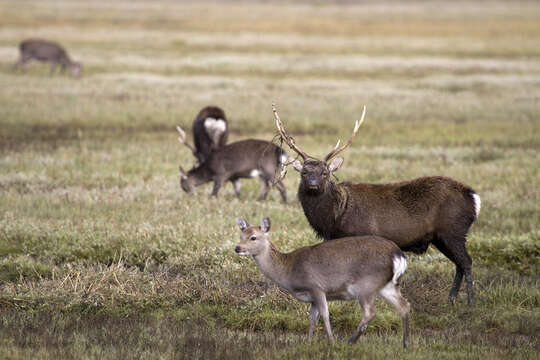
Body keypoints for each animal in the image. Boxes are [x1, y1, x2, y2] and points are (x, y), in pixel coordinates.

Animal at [233, 217, 410, 346]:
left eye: (253, 237)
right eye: (241, 236)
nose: (237, 248)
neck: (289, 271)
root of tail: (398, 255)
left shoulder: (316, 287)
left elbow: (325, 315)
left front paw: (331, 342)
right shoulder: (312, 298)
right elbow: (312, 318)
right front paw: (309, 342)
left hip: (366, 285)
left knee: (370, 311)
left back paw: (351, 341)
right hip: (387, 286)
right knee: (404, 305)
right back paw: (406, 344)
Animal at [274, 103, 480, 304]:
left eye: (325, 173)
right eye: (304, 173)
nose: (313, 185)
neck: (334, 218)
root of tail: (473, 198)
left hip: (453, 230)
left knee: (466, 262)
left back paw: (470, 302)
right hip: (442, 236)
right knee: (459, 264)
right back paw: (451, 299)